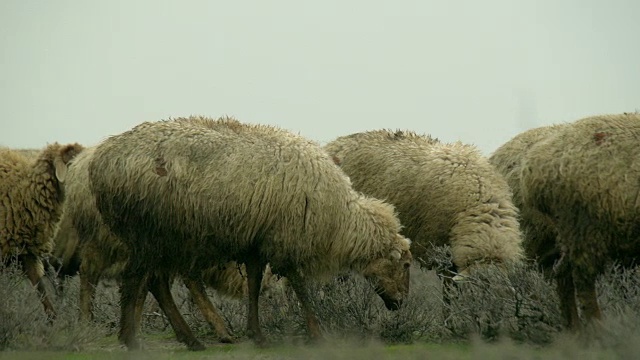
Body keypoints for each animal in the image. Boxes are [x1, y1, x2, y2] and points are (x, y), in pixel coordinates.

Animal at [48, 147, 278, 346]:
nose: (270, 296)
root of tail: (78, 166)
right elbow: (187, 283)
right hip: (103, 239)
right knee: (89, 273)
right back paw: (86, 324)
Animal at [87, 116, 412, 350]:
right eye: (406, 265)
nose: (400, 305)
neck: (339, 221)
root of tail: (100, 159)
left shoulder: (258, 244)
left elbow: (254, 286)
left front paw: (257, 334)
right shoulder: (286, 241)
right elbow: (299, 287)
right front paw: (317, 333)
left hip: (162, 239)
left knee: (156, 282)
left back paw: (190, 340)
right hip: (147, 233)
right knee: (135, 279)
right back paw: (132, 340)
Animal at [520, 112, 640, 330]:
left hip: (572, 232)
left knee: (562, 273)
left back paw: (574, 329)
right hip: (585, 228)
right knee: (582, 280)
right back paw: (597, 328)